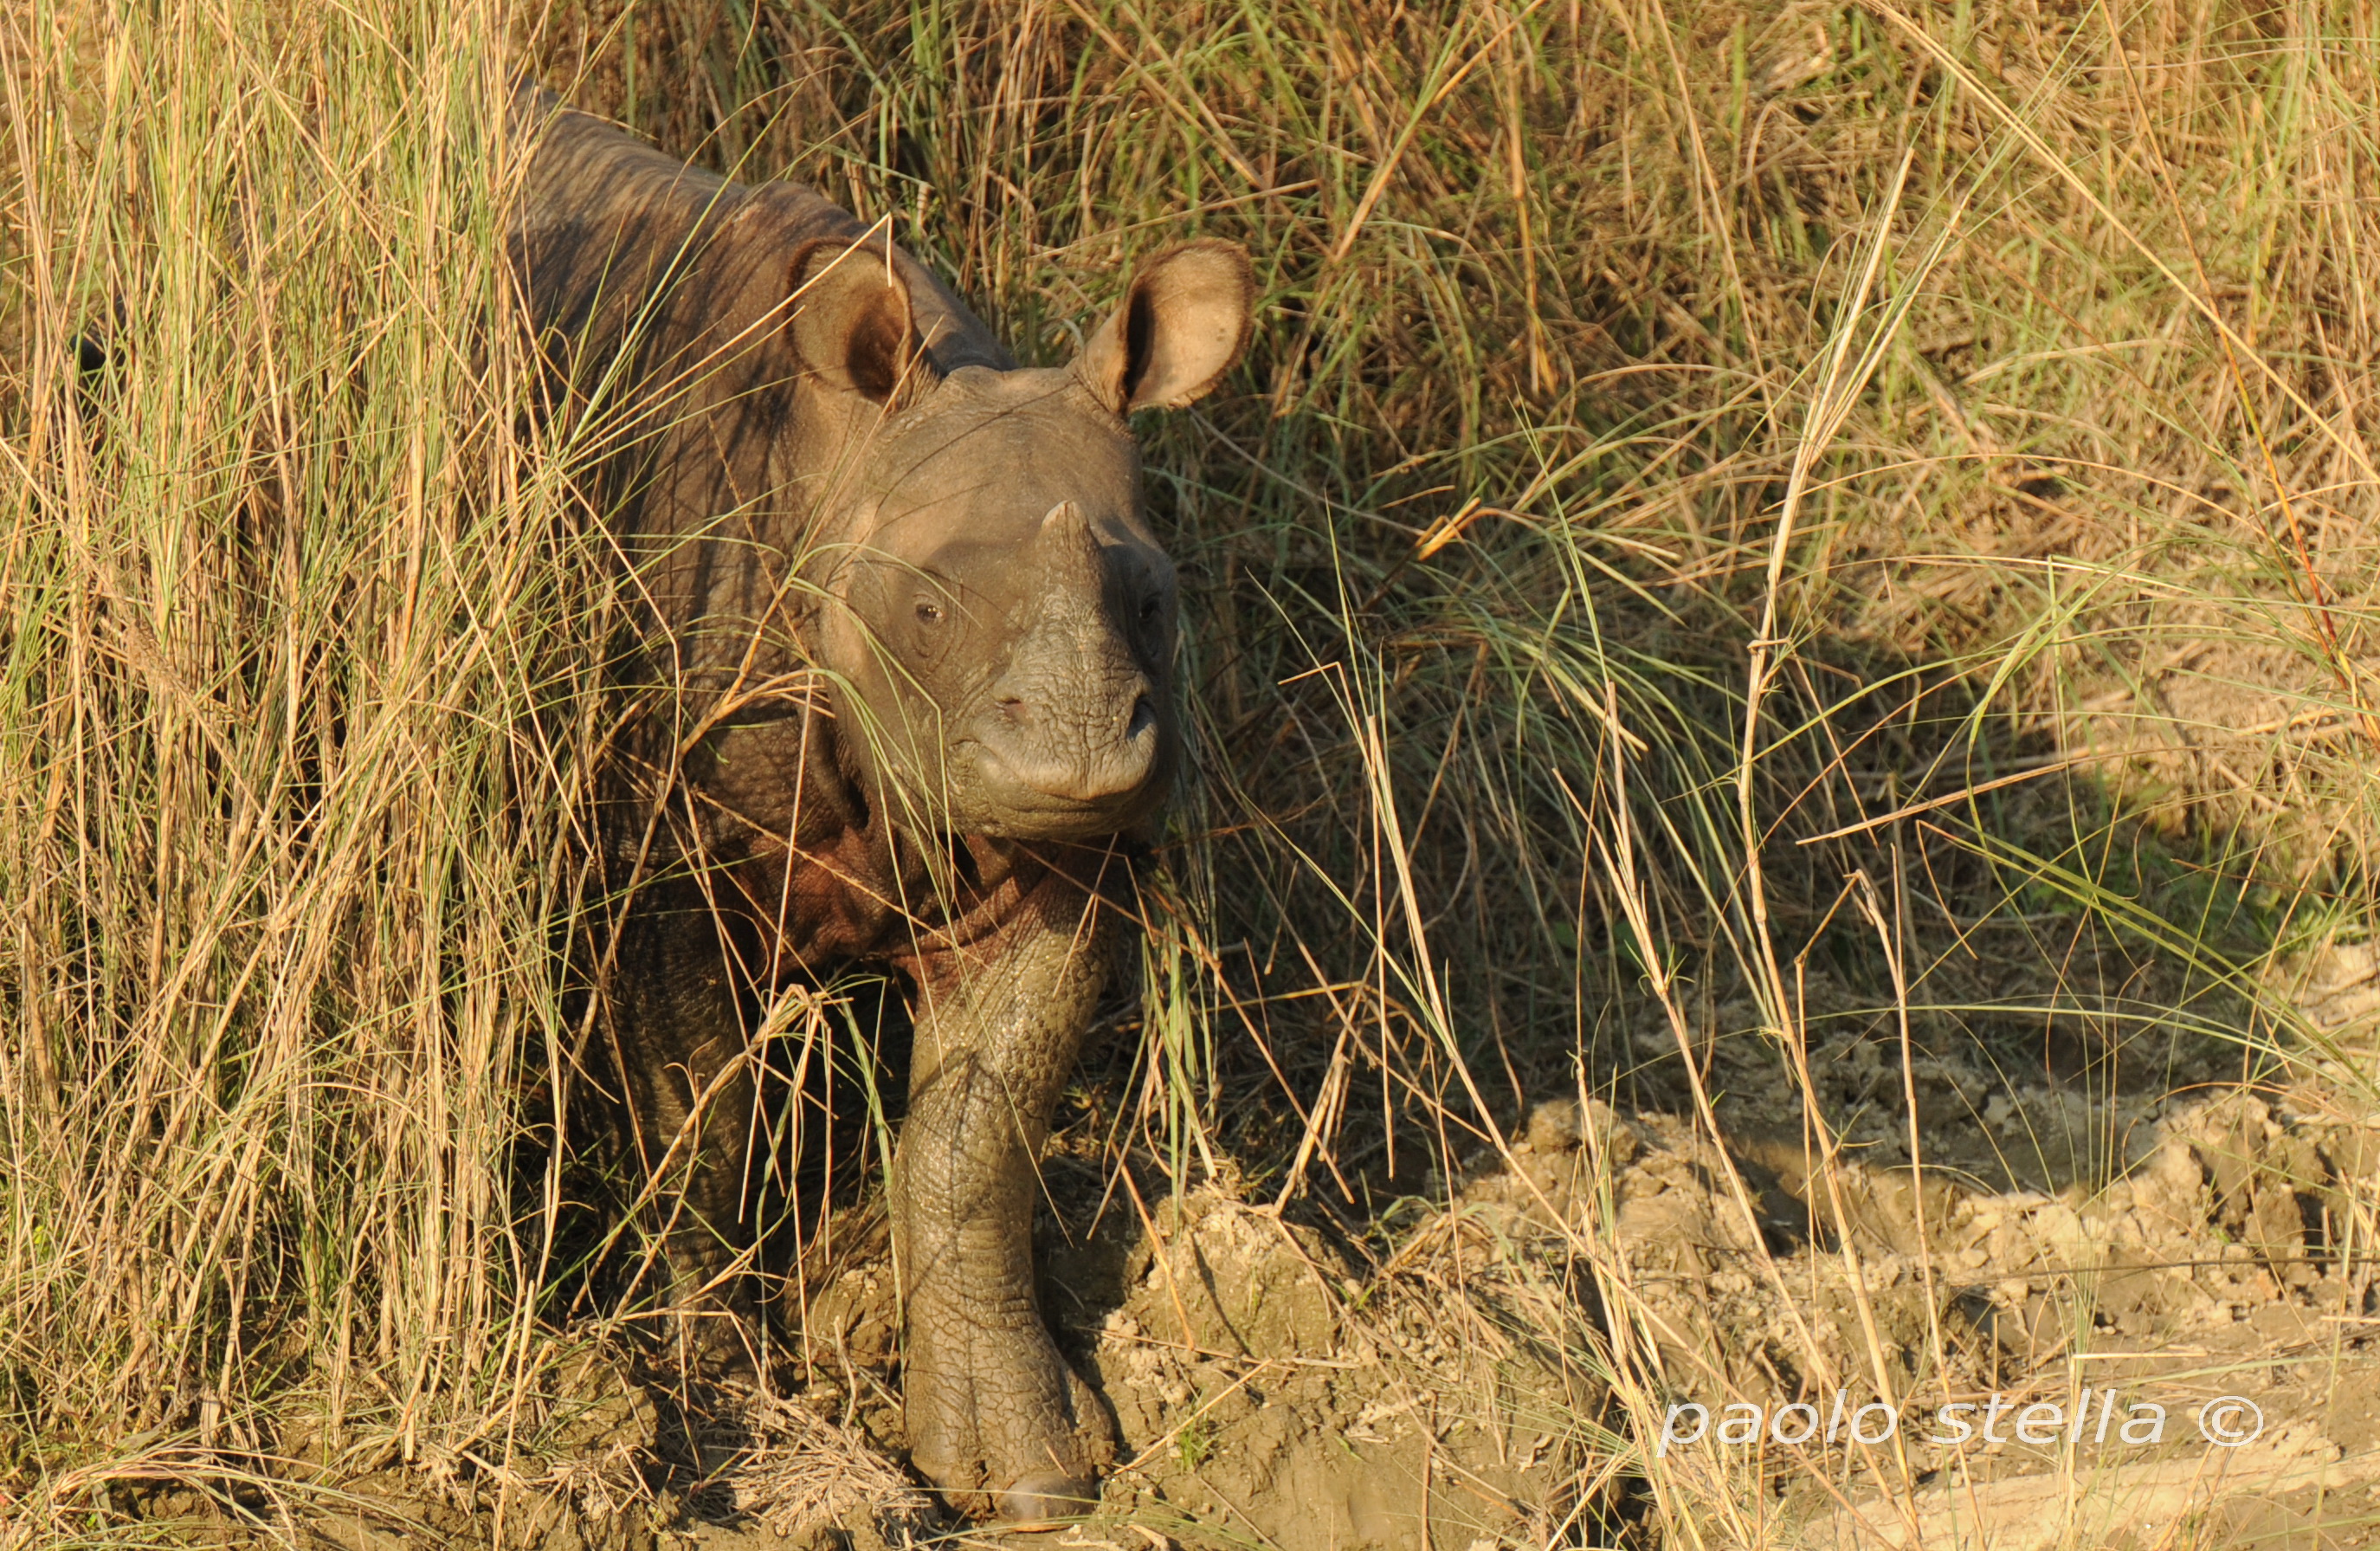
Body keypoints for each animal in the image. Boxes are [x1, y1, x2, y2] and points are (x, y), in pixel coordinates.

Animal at [507, 88, 1251, 1523]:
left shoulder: (1059, 868)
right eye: (922, 611)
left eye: (1156, 598)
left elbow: (976, 1136)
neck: (836, 466)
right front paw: (714, 1392)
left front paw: (1030, 1471)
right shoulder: (669, 832)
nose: (1080, 758)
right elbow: (701, 1112)